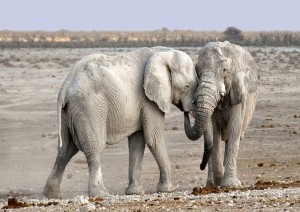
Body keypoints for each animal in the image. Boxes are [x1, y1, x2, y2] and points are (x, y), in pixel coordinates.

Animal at [42, 46, 197, 199]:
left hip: (70, 112)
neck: (163, 52)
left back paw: (52, 195)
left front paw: (135, 192)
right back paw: (101, 194)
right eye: (187, 87)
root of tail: (66, 84)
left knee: (65, 150)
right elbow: (154, 139)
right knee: (94, 148)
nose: (187, 112)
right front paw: (169, 189)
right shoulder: (149, 100)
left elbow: (137, 142)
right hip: (89, 107)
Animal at [184, 41, 258, 187]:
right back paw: (212, 184)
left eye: (224, 70)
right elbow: (214, 131)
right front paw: (220, 179)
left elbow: (234, 129)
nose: (187, 111)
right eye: (197, 71)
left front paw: (230, 184)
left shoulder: (238, 95)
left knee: (231, 138)